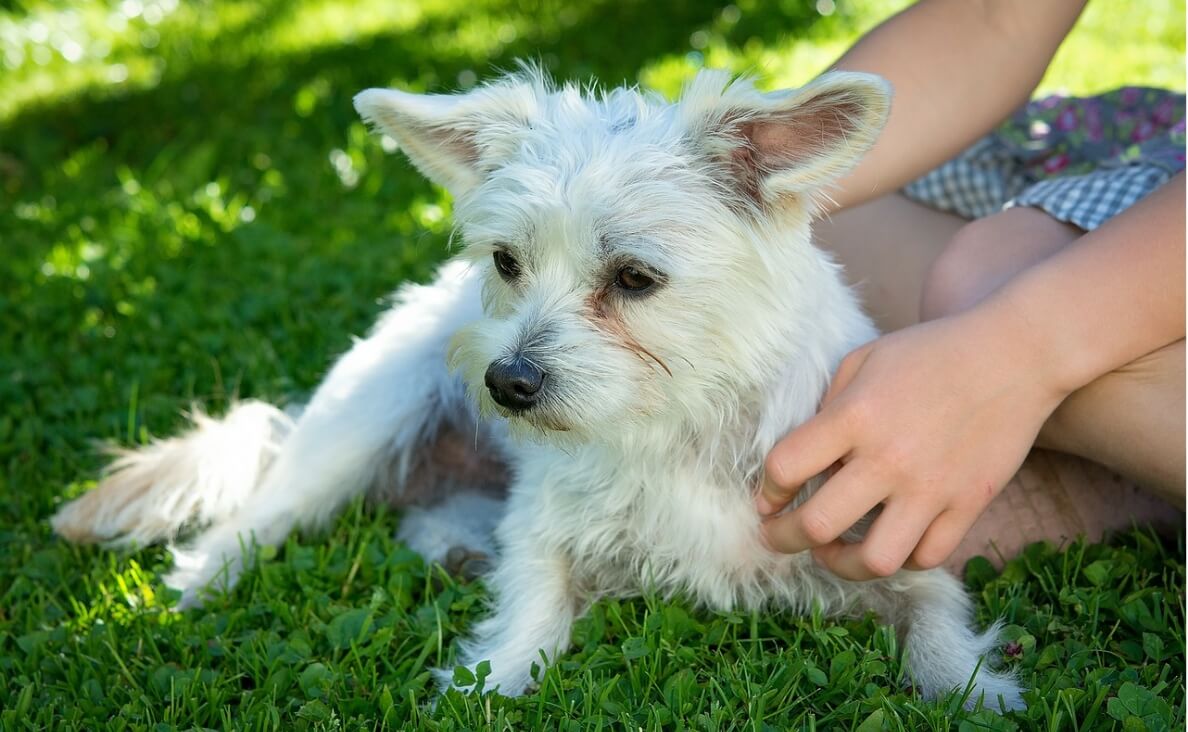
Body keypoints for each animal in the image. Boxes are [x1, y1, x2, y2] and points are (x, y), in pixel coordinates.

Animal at [53, 67, 1021, 708]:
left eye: (634, 278)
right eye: (506, 263)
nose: (505, 383)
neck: (676, 421)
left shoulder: (890, 541)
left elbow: (940, 624)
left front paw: (973, 691)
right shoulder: (542, 535)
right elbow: (526, 625)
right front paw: (482, 690)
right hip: (357, 426)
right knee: (251, 524)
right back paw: (185, 594)